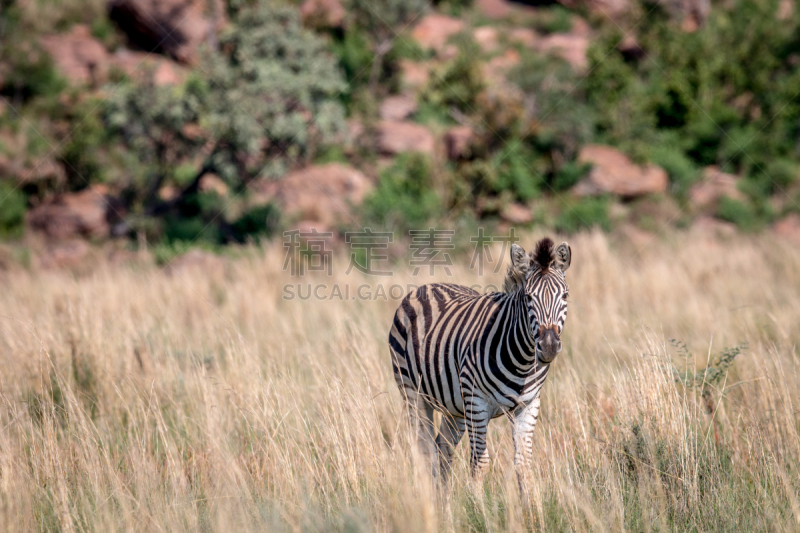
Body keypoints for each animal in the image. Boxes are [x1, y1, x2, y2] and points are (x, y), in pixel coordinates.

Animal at [386, 237, 568, 486]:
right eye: (528, 297)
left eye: (565, 296)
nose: (549, 346)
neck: (522, 363)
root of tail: (426, 287)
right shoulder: (477, 403)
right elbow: (479, 465)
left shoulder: (528, 405)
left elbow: (523, 464)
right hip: (413, 394)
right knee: (425, 451)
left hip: (455, 407)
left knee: (442, 448)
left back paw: (443, 497)